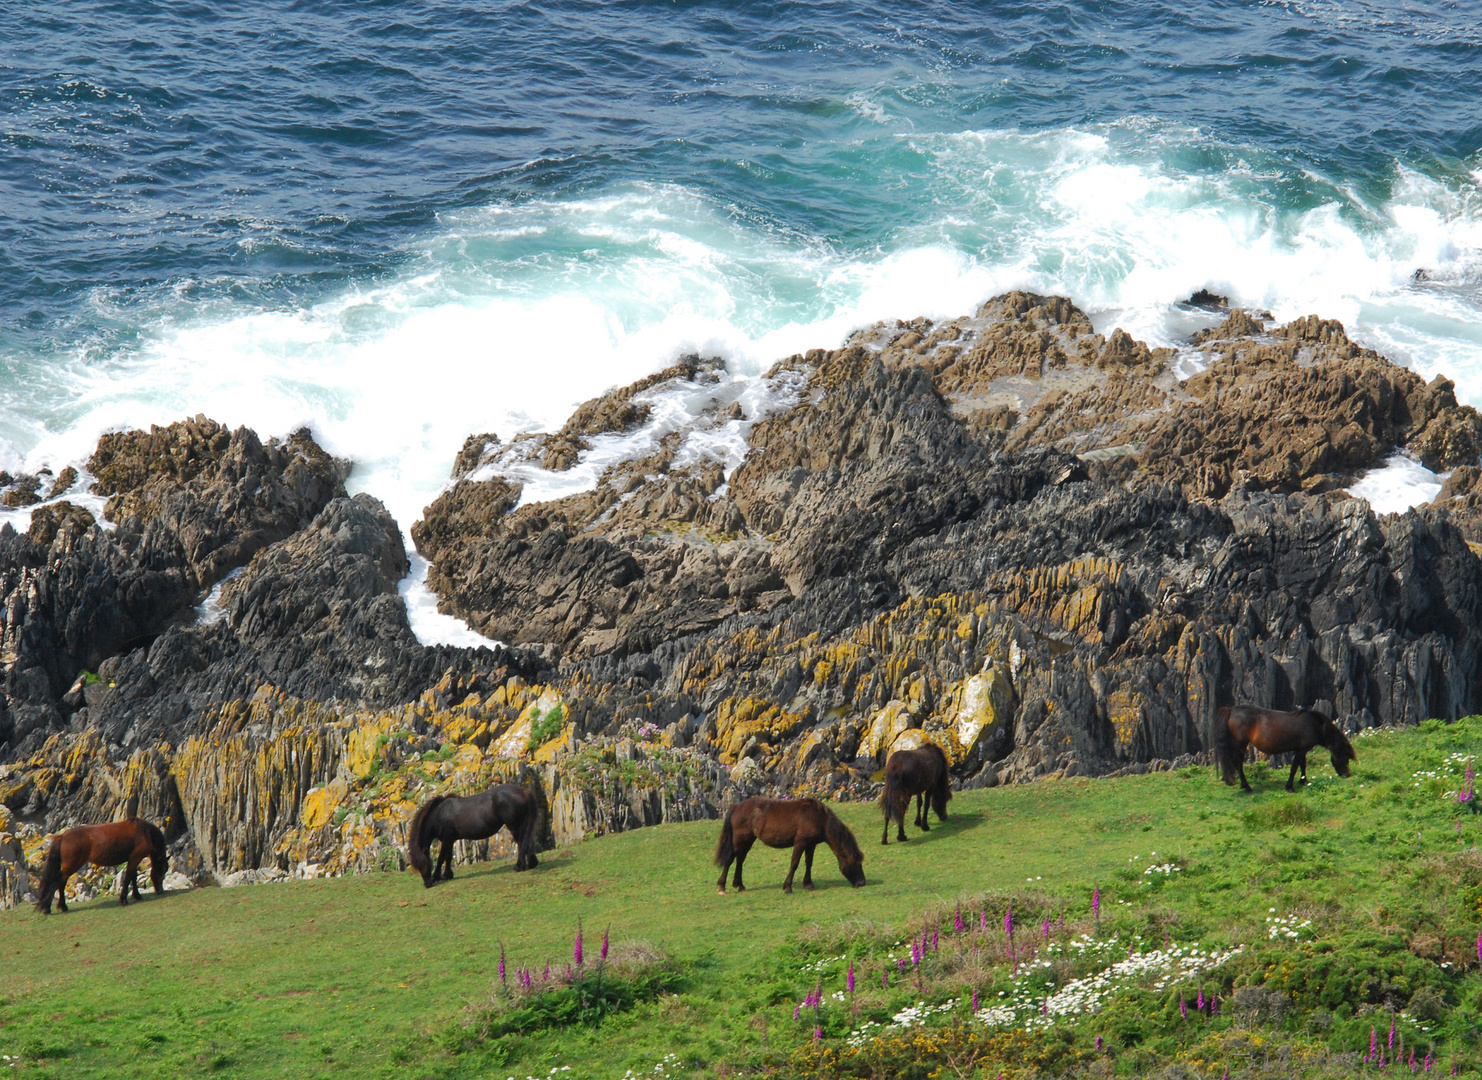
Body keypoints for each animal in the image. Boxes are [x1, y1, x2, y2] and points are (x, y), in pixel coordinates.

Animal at [32, 811, 166, 912]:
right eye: (162, 873)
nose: (160, 891)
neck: (144, 832)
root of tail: (63, 836)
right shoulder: (135, 859)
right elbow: (129, 878)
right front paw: (124, 899)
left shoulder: (133, 859)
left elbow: (133, 877)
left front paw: (137, 895)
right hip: (72, 866)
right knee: (58, 882)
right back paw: (48, 907)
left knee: (61, 883)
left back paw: (61, 906)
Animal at [406, 782, 545, 882]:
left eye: (422, 863)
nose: (427, 884)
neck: (439, 814)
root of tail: (523, 791)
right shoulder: (450, 840)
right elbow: (448, 857)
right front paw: (447, 875)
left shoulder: (446, 840)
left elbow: (441, 858)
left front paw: (437, 876)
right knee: (528, 842)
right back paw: (532, 863)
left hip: (514, 826)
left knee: (521, 843)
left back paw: (518, 866)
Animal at [711, 794, 865, 894]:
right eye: (855, 862)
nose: (862, 883)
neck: (819, 817)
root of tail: (737, 806)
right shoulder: (800, 843)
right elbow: (795, 863)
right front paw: (788, 887)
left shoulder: (811, 844)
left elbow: (809, 863)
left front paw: (808, 884)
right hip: (740, 840)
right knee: (731, 859)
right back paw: (722, 886)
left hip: (748, 840)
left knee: (740, 860)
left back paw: (740, 885)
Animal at [1215, 699, 1357, 794]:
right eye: (1345, 757)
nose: (1346, 775)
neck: (1313, 724)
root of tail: (1231, 710)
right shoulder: (1300, 750)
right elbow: (1294, 767)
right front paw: (1290, 786)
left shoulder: (1302, 750)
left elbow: (1302, 765)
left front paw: (1303, 781)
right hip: (1241, 744)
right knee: (1238, 763)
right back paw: (1247, 787)